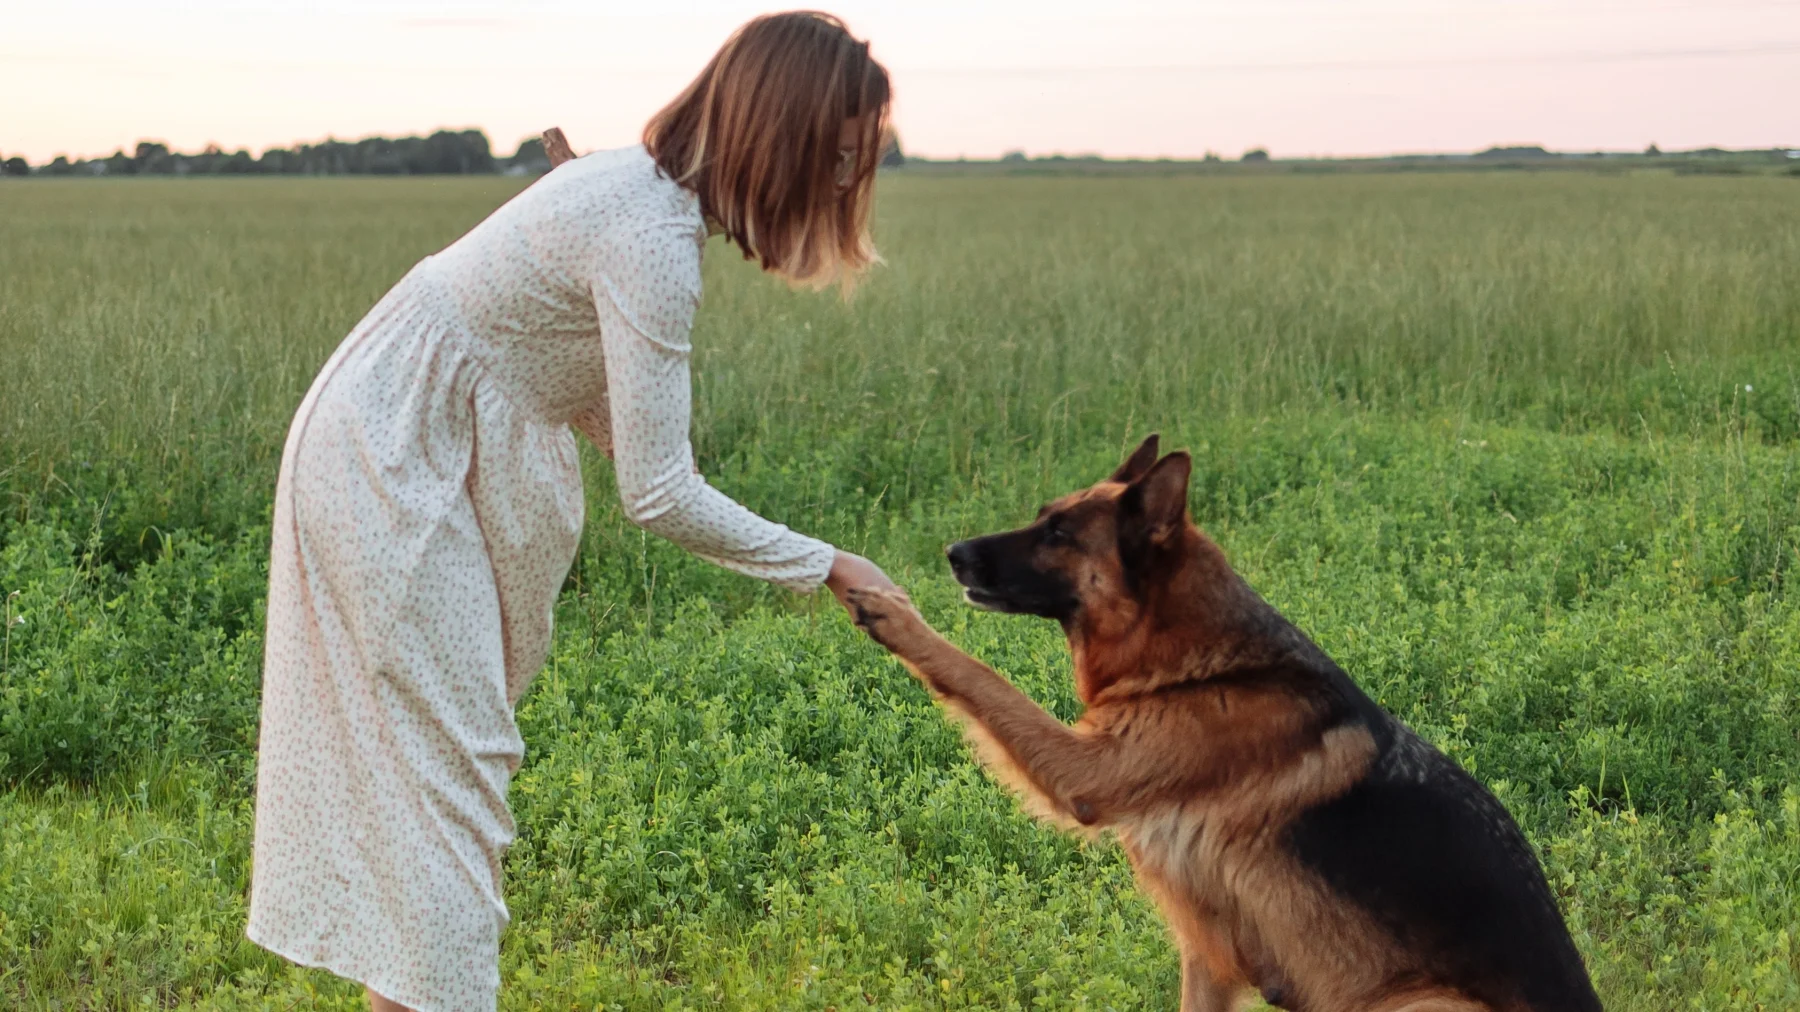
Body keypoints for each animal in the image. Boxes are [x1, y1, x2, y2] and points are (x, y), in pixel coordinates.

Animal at [842, 433, 1605, 1008]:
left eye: (1058, 534)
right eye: (1042, 514)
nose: (953, 554)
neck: (1200, 666)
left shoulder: (1088, 771)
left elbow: (981, 677)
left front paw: (892, 612)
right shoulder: (1208, 956)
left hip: (1414, 1004)